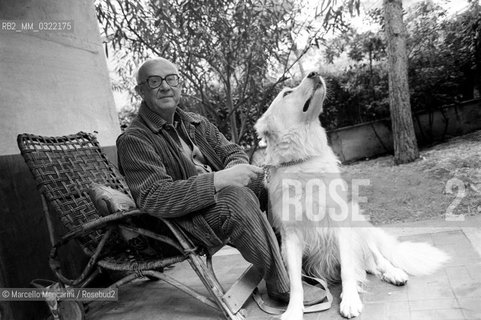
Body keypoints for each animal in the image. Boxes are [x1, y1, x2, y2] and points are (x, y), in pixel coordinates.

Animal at [253, 72, 448, 320]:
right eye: (286, 93)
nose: (314, 73)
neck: (304, 160)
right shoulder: (290, 238)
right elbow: (295, 282)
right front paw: (293, 310)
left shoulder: (341, 226)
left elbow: (348, 268)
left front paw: (350, 300)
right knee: (368, 265)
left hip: (358, 223)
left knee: (377, 258)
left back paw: (394, 273)